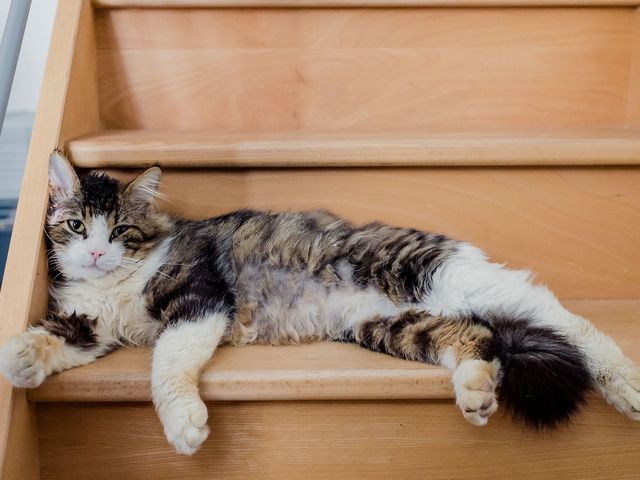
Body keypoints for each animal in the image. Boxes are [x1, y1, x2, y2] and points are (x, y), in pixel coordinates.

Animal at [1, 152, 640, 456]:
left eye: (121, 231)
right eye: (76, 225)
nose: (95, 253)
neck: (113, 288)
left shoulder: (200, 299)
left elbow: (167, 365)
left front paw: (184, 425)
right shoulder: (92, 325)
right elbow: (52, 337)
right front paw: (20, 360)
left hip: (438, 276)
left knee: (560, 315)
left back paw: (625, 382)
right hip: (387, 325)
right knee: (475, 338)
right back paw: (476, 391)